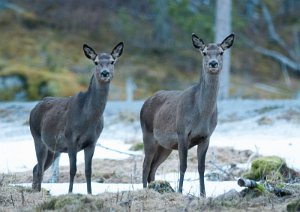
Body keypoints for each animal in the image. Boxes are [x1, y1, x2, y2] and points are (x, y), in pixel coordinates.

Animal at [29, 41, 123, 194]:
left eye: (112, 61)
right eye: (96, 62)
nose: (105, 73)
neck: (88, 118)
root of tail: (34, 108)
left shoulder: (92, 142)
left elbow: (88, 170)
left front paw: (90, 193)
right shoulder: (70, 139)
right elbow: (72, 170)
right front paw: (70, 192)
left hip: (52, 148)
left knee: (36, 167)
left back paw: (35, 190)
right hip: (37, 137)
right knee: (40, 169)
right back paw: (37, 191)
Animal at [140, 33, 234, 197]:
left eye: (221, 52)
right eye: (204, 52)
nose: (213, 63)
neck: (202, 114)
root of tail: (144, 103)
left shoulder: (206, 137)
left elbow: (201, 167)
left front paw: (203, 194)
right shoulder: (182, 132)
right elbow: (183, 165)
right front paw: (180, 191)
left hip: (165, 146)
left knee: (153, 168)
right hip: (148, 134)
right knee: (145, 165)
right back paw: (146, 190)